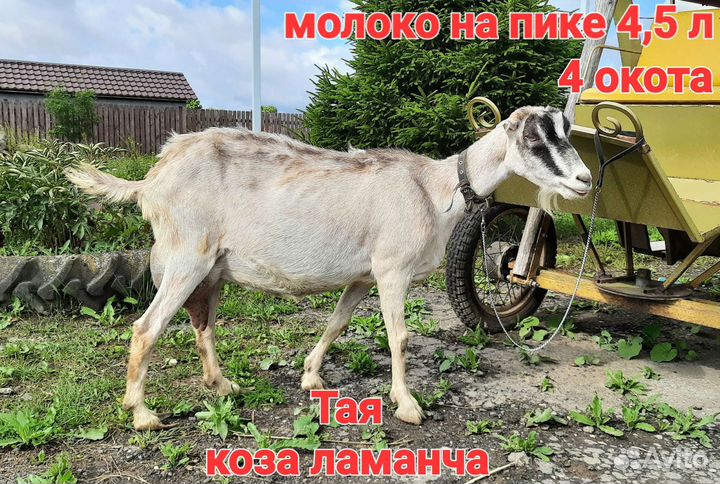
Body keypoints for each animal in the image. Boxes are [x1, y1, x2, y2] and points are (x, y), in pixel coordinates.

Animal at [66, 106, 592, 430]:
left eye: (564, 133)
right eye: (533, 138)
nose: (584, 180)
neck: (433, 189)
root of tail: (152, 178)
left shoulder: (363, 276)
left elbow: (337, 323)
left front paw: (310, 377)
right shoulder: (392, 270)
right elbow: (399, 337)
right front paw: (407, 404)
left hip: (210, 269)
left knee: (203, 325)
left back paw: (223, 384)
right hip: (185, 256)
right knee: (145, 329)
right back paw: (141, 414)